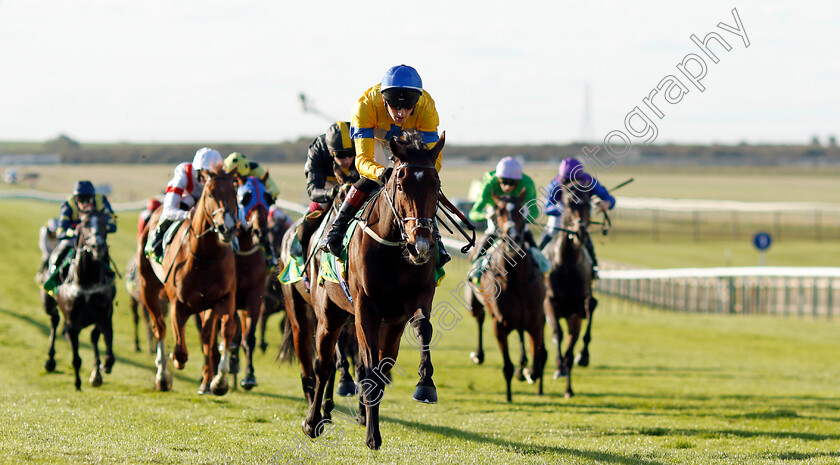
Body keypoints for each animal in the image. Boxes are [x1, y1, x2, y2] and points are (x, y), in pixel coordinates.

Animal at [43, 209, 116, 388]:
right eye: (84, 223)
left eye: (103, 222)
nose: (98, 246)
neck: (87, 281)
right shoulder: (72, 322)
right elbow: (76, 358)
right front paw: (77, 383)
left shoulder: (104, 316)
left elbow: (109, 354)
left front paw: (103, 367)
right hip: (49, 303)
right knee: (54, 321)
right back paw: (50, 360)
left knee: (93, 337)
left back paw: (96, 373)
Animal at [136, 170, 238, 396]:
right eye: (210, 193)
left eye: (235, 191)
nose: (227, 228)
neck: (205, 257)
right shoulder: (178, 304)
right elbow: (180, 350)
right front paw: (175, 363)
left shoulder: (223, 299)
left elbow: (225, 332)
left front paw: (219, 380)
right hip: (148, 288)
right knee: (160, 327)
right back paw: (162, 376)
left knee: (207, 337)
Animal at [304, 131, 446, 450]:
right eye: (400, 183)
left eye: (437, 185)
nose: (421, 245)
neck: (394, 248)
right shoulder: (365, 309)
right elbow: (366, 367)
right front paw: (372, 435)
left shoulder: (414, 302)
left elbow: (422, 330)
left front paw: (425, 384)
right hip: (329, 315)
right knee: (323, 364)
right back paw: (313, 420)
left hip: (388, 326)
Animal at [462, 190, 548, 400]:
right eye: (499, 211)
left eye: (521, 210)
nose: (512, 237)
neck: (517, 280)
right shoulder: (500, 324)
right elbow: (507, 366)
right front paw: (509, 395)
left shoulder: (536, 321)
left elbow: (537, 362)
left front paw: (526, 372)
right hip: (476, 304)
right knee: (479, 318)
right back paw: (479, 355)